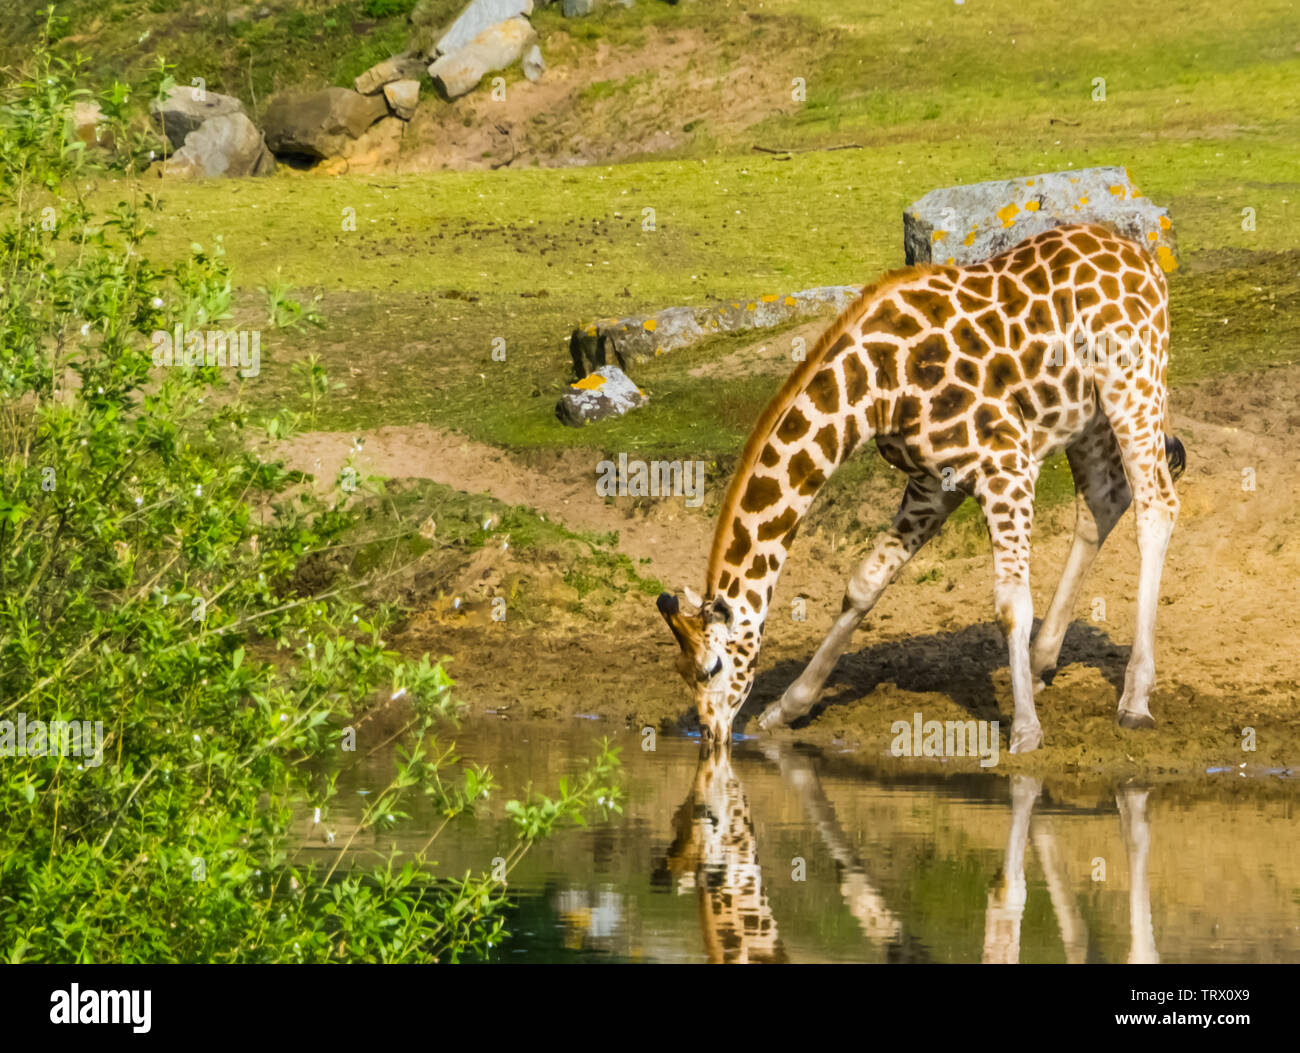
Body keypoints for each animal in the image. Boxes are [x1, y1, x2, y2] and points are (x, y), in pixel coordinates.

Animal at [665, 223, 1185, 748]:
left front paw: (1025, 731)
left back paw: (1134, 699)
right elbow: (864, 584)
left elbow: (1010, 603)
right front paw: (785, 709)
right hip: (1086, 415)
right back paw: (1041, 663)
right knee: (1105, 498)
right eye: (681, 672)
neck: (872, 388)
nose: (711, 734)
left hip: (1133, 382)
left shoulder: (1006, 463)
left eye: (711, 668)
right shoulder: (933, 484)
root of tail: (1143, 257)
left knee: (1156, 505)